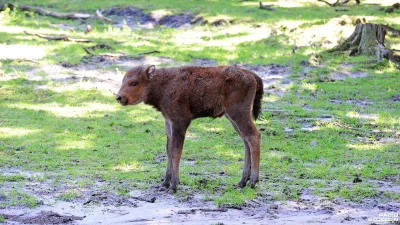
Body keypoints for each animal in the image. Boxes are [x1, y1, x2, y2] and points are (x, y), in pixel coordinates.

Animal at [117, 64, 264, 192]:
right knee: (246, 141)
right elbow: (169, 151)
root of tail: (251, 75)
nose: (119, 97)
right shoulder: (169, 122)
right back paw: (242, 181)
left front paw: (173, 185)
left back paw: (252, 181)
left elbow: (176, 152)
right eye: (123, 80)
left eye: (134, 82)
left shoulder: (180, 122)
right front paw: (165, 183)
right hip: (232, 117)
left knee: (253, 136)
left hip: (238, 113)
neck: (163, 85)